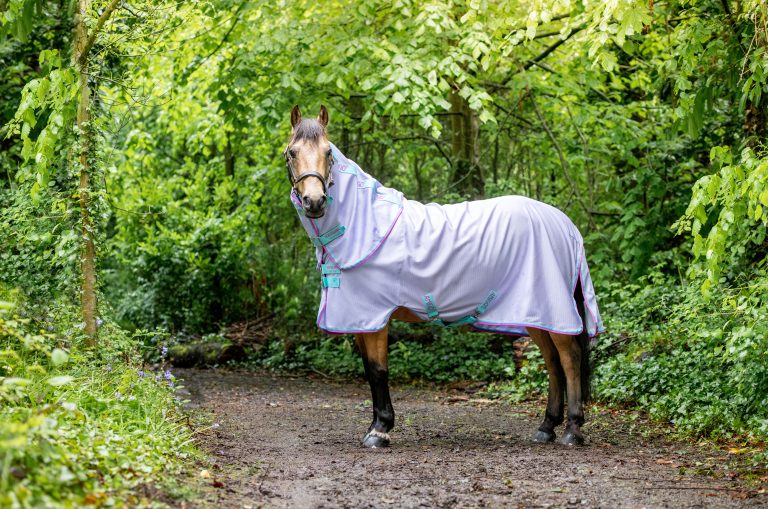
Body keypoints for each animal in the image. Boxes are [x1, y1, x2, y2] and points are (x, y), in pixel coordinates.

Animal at [284, 105, 604, 448]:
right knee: (552, 363)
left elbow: (379, 370)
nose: (314, 202)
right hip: (536, 314)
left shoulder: (374, 317)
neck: (367, 223)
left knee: (569, 359)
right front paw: (376, 425)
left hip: (555, 311)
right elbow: (370, 370)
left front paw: (379, 430)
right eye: (292, 152)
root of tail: (565, 224)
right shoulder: (359, 319)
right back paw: (546, 427)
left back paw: (572, 430)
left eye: (328, 153)